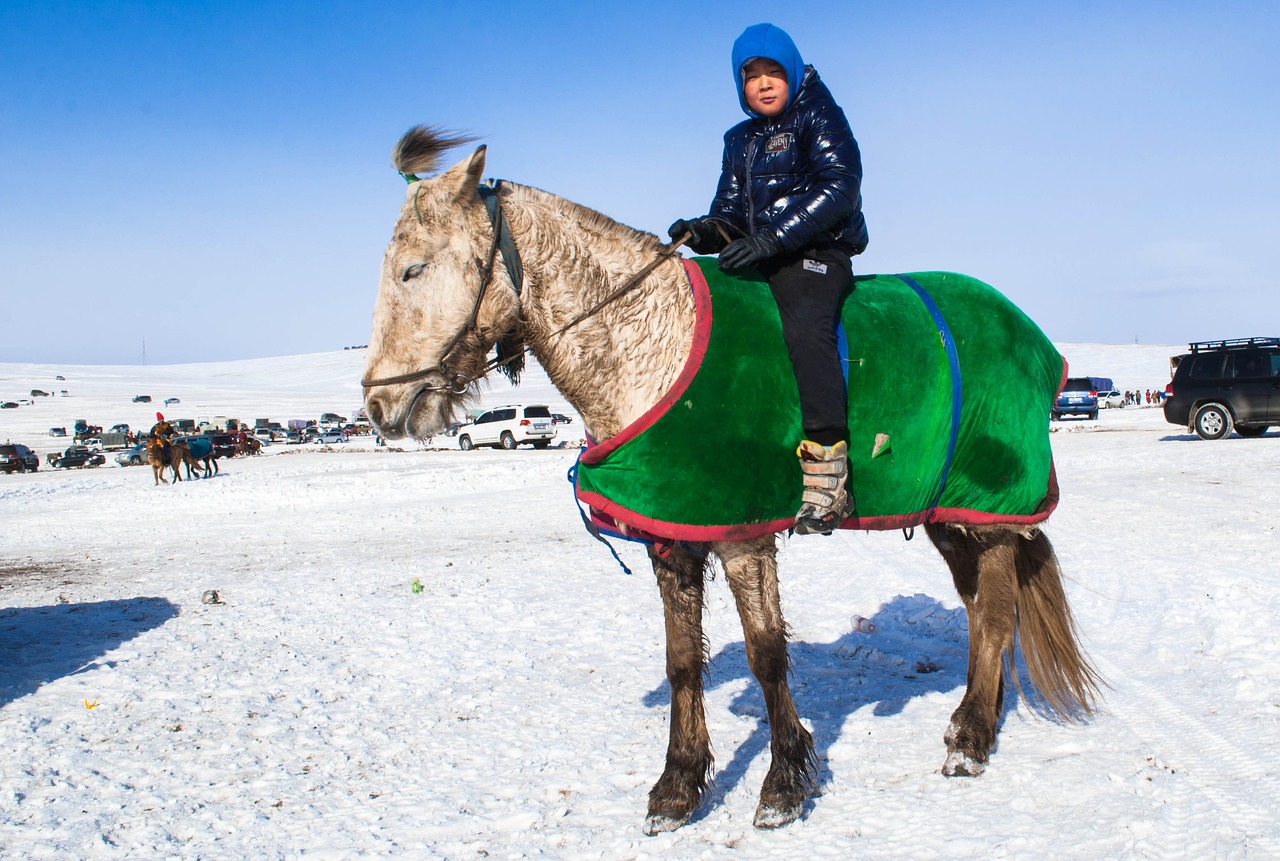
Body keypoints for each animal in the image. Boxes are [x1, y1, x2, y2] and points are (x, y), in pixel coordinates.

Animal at [358, 127, 1100, 834]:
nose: (379, 406)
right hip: (952, 515)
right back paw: (974, 721)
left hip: (990, 513)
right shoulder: (672, 536)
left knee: (996, 613)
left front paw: (783, 784)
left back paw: (970, 739)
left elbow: (767, 653)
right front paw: (678, 786)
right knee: (978, 610)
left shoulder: (742, 533)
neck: (650, 342)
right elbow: (683, 660)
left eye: (413, 269)